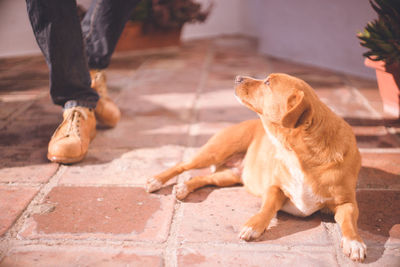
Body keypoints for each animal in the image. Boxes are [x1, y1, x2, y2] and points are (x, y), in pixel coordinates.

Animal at [146, 73, 366, 262]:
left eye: (268, 83)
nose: (237, 77)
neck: (298, 153)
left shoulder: (347, 202)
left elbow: (349, 221)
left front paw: (354, 242)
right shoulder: (275, 188)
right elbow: (267, 208)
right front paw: (253, 226)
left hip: (228, 176)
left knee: (201, 178)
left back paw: (184, 187)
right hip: (215, 151)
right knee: (182, 165)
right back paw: (156, 180)